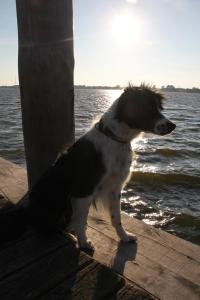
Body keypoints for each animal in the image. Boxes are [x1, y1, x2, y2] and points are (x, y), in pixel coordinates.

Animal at [28, 83, 176, 250]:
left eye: (158, 108)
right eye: (148, 108)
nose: (172, 126)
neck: (116, 139)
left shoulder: (115, 188)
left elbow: (116, 218)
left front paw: (124, 237)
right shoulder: (84, 190)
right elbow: (82, 221)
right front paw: (84, 243)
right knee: (48, 227)